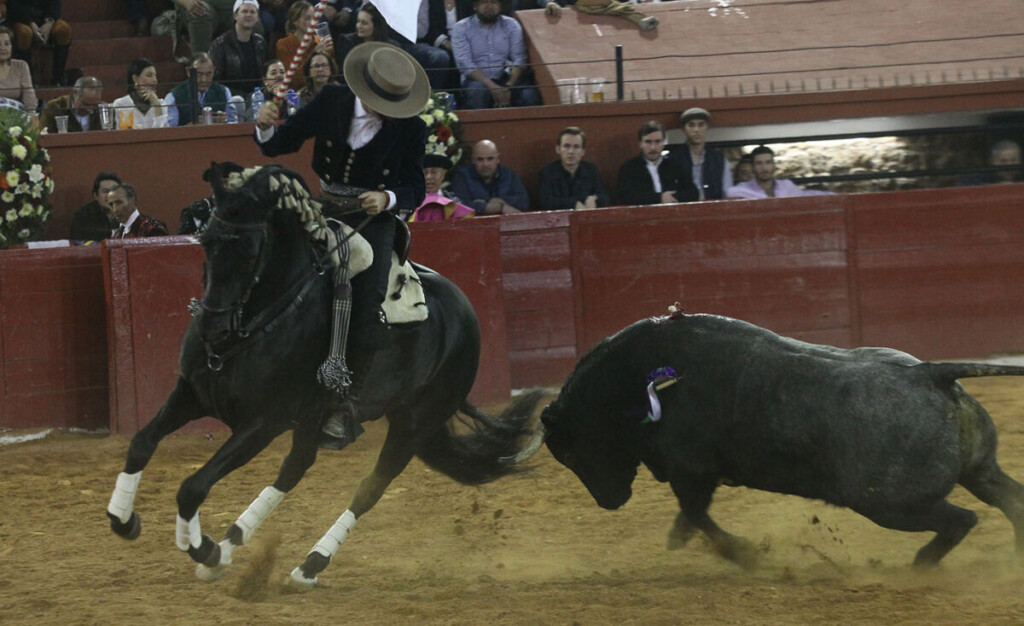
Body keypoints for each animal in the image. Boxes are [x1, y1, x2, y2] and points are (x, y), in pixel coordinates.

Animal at [105, 163, 544, 586]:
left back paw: (308, 564)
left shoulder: (263, 422)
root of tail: (463, 307)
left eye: (250, 251)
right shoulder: (192, 393)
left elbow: (192, 486)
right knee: (295, 467)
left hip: (414, 421)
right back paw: (233, 545)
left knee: (370, 487)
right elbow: (141, 443)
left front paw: (202, 548)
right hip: (318, 418)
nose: (211, 329)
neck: (259, 321)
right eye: (206, 243)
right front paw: (125, 520)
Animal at [520, 313, 1024, 569]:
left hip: (889, 503)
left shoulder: (691, 469)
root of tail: (931, 374)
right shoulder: (695, 473)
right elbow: (693, 514)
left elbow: (697, 513)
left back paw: (917, 568)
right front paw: (685, 539)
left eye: (570, 451)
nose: (609, 501)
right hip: (978, 470)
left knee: (961, 520)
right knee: (1011, 499)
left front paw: (740, 553)